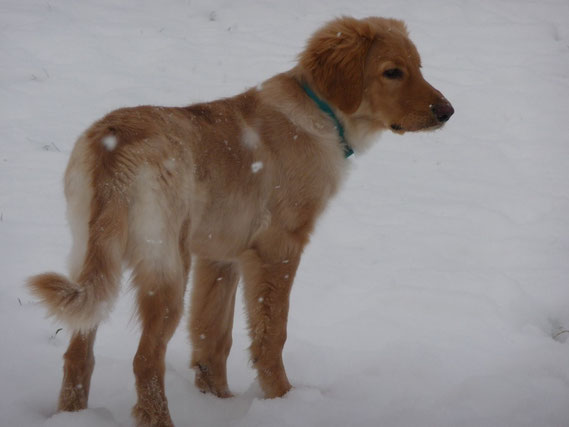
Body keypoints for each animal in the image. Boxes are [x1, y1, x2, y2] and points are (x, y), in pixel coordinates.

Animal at [27, 15, 452, 426]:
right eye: (392, 72)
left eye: (418, 66)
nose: (447, 112)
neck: (322, 114)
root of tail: (115, 147)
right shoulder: (278, 248)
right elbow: (271, 333)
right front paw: (282, 398)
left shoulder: (220, 256)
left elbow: (212, 336)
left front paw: (219, 401)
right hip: (167, 267)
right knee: (145, 360)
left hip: (92, 256)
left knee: (78, 353)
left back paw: (71, 415)